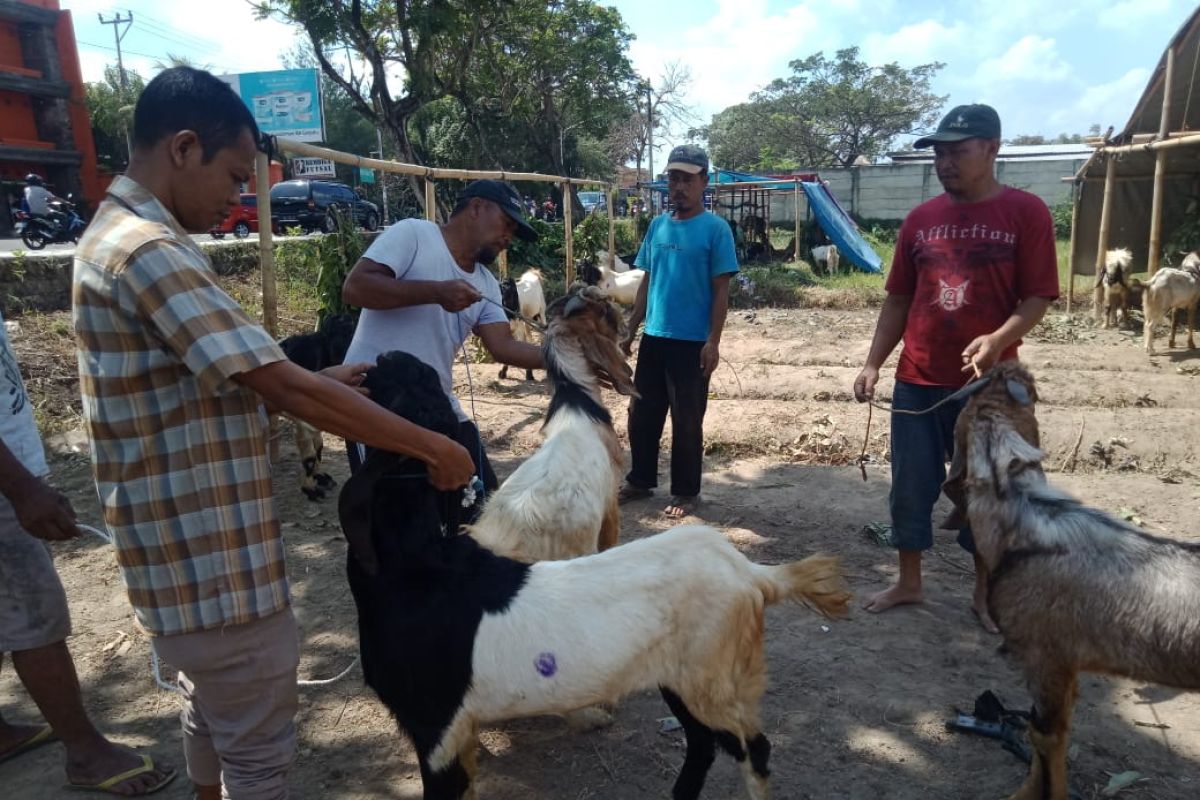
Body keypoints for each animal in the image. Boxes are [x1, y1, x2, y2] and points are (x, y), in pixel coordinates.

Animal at [340, 347, 854, 800]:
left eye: (412, 385)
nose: (385, 356)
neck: (418, 567)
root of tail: (753, 574)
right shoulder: (457, 733)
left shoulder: (437, 726)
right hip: (680, 676)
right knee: (702, 743)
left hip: (716, 677)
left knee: (753, 748)